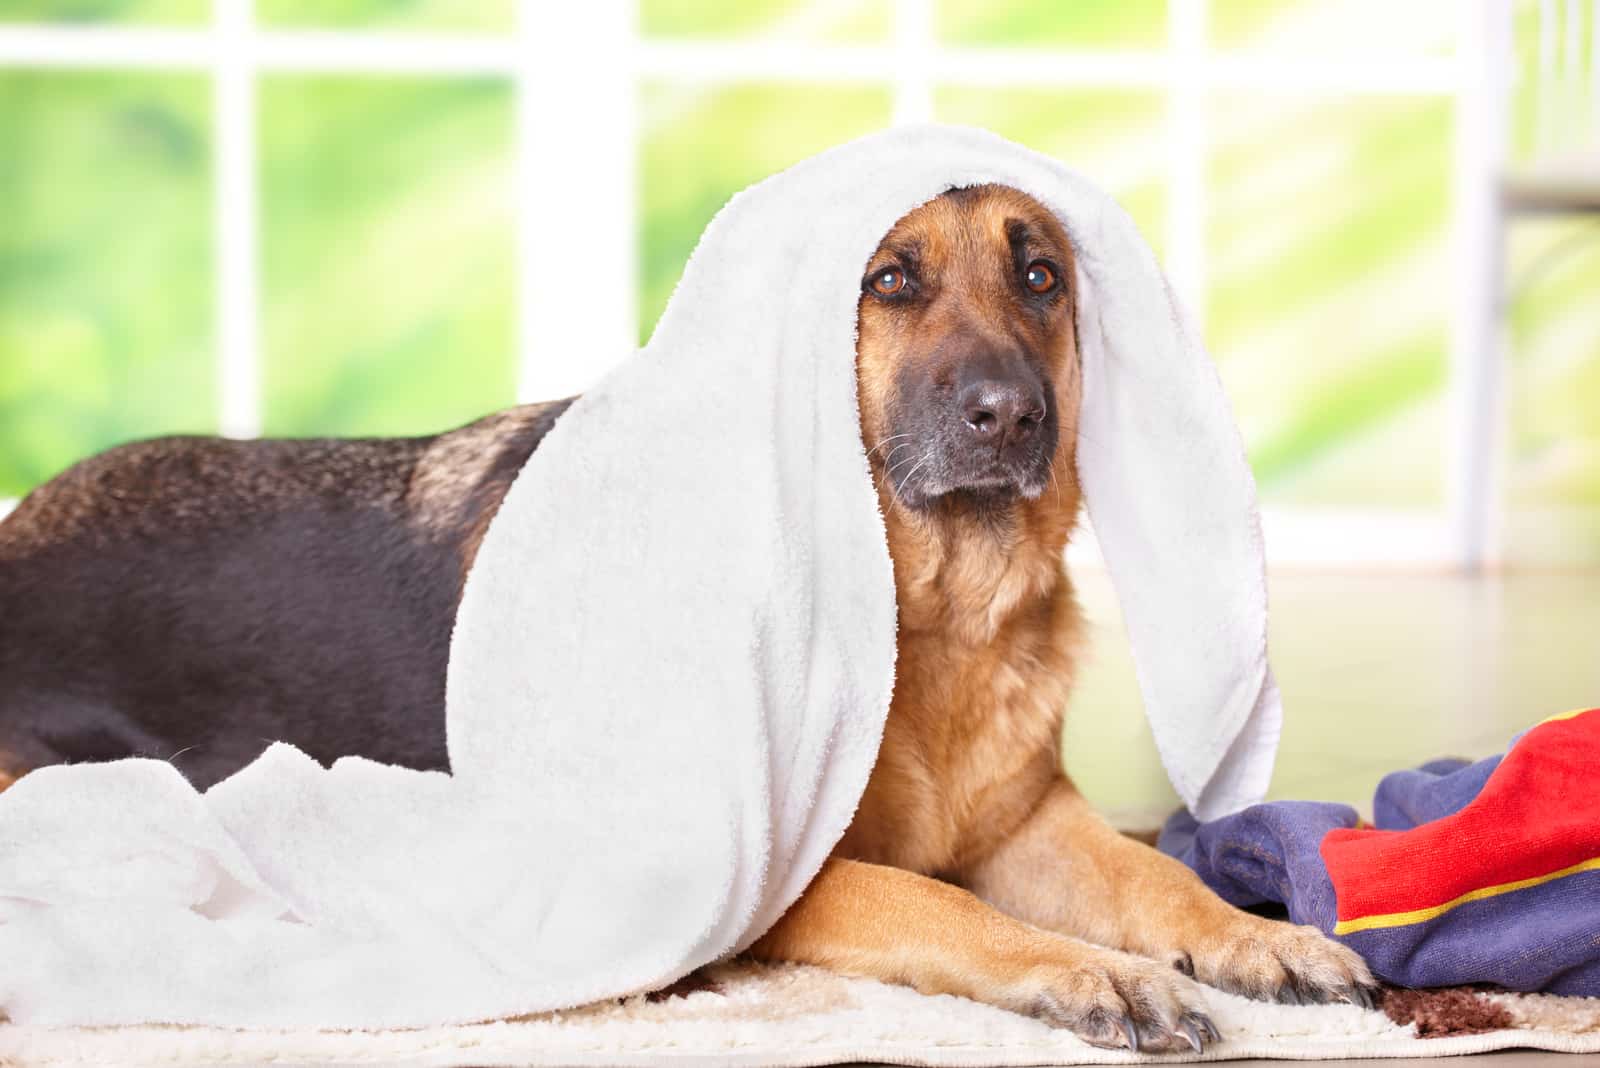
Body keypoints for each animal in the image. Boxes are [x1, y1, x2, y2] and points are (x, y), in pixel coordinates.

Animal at [0, 181, 1376, 1042]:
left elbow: (1155, 875)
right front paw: (1088, 971)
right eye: (889, 280)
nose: (1012, 414)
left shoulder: (1032, 823)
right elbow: (945, 906)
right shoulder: (770, 877)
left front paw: (1255, 938)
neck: (926, 612)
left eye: (1038, 277)